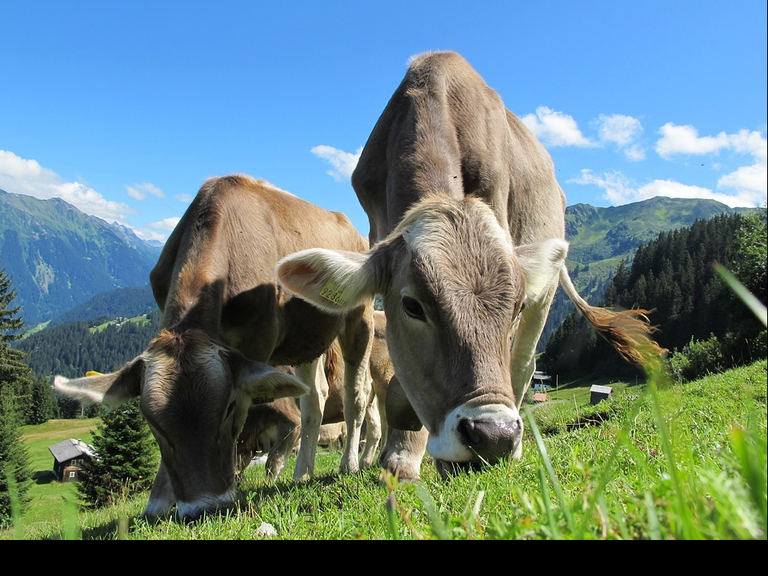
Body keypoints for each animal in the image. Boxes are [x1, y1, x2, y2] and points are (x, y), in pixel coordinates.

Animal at [53, 174, 375, 519]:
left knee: (356, 395)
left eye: (229, 408)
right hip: (306, 339)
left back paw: (349, 464)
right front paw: (158, 501)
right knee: (314, 398)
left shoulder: (257, 342)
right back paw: (302, 472)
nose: (203, 508)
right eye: (151, 421)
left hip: (359, 317)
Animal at [276, 51, 663, 480]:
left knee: (523, 364)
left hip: (545, 294)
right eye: (412, 306)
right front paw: (401, 455)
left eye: (515, 306)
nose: (494, 435)